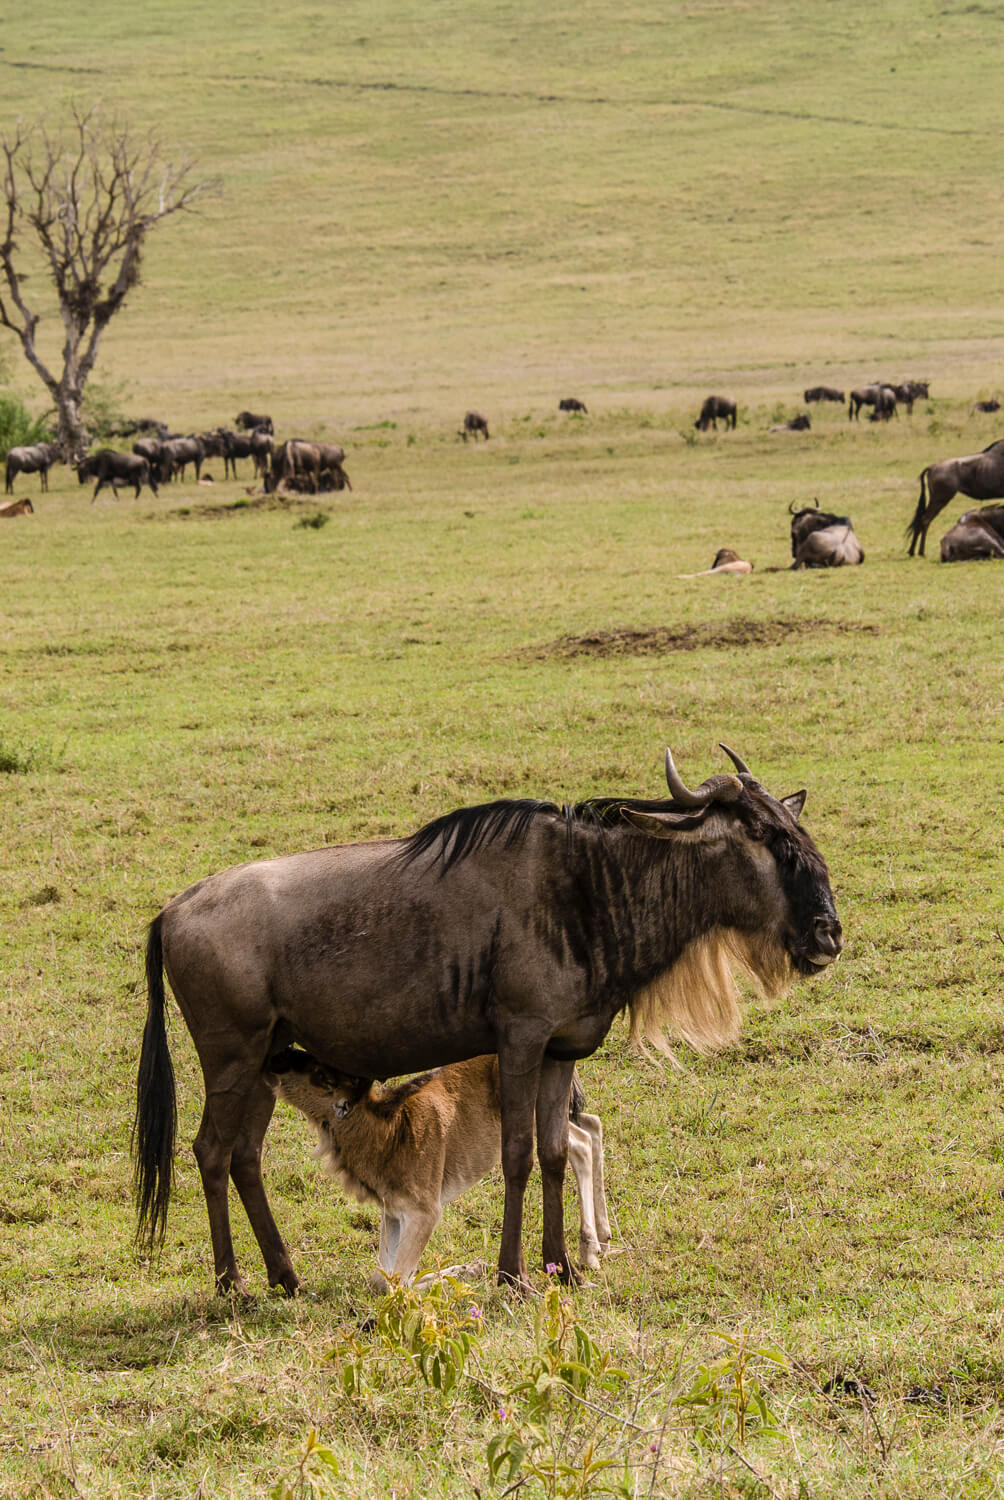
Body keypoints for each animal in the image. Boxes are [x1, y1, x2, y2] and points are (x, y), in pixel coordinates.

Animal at [268, 1050, 612, 1284]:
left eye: (319, 1073)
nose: (280, 1056)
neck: (390, 1133)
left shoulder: (425, 1211)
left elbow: (398, 1280)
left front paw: (474, 1268)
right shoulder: (393, 1212)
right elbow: (383, 1279)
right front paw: (473, 1267)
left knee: (579, 1143)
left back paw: (590, 1251)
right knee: (592, 1125)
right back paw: (602, 1239)